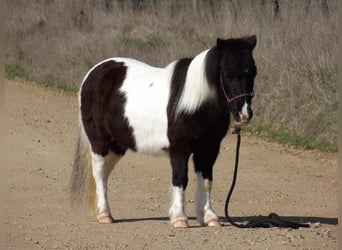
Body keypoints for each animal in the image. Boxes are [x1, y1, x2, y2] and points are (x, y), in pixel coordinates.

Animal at [69, 35, 256, 229]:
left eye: (252, 73)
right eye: (227, 74)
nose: (244, 114)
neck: (193, 105)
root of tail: (94, 72)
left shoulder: (208, 150)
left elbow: (206, 182)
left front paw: (209, 217)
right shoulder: (179, 149)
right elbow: (180, 179)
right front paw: (180, 218)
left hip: (117, 145)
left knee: (105, 174)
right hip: (100, 142)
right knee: (99, 172)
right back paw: (105, 214)